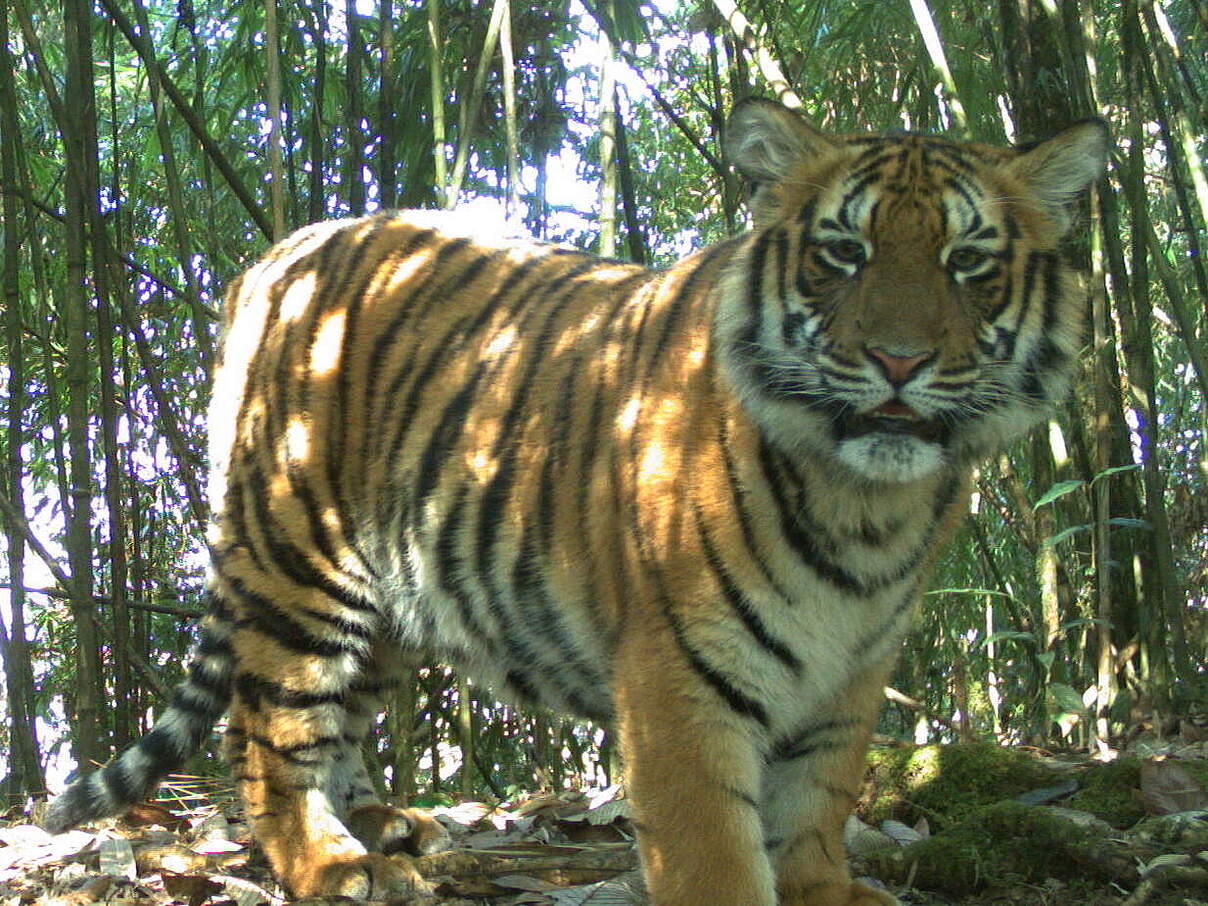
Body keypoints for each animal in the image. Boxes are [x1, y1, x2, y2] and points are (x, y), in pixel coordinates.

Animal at [46, 97, 1107, 906]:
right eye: (843, 252)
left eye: (969, 262)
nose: (898, 360)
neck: (867, 502)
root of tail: (275, 256)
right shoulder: (680, 675)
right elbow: (716, 855)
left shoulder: (850, 673)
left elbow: (816, 809)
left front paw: (829, 890)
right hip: (298, 560)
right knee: (268, 731)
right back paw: (331, 863)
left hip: (388, 601)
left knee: (340, 718)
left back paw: (386, 825)